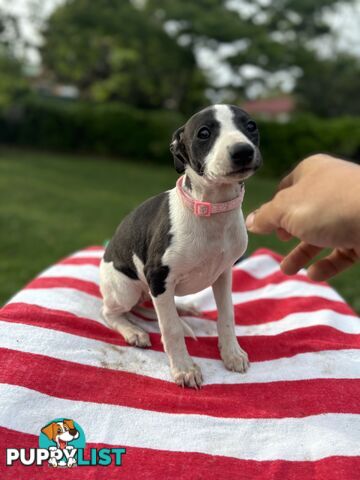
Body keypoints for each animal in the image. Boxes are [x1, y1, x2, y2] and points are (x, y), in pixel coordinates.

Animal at [100, 104, 262, 386]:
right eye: (204, 133)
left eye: (250, 126)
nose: (243, 151)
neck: (212, 210)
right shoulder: (158, 276)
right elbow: (171, 328)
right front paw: (184, 368)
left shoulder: (223, 274)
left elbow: (227, 315)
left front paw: (231, 353)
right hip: (126, 289)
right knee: (110, 312)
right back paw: (133, 331)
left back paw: (183, 308)